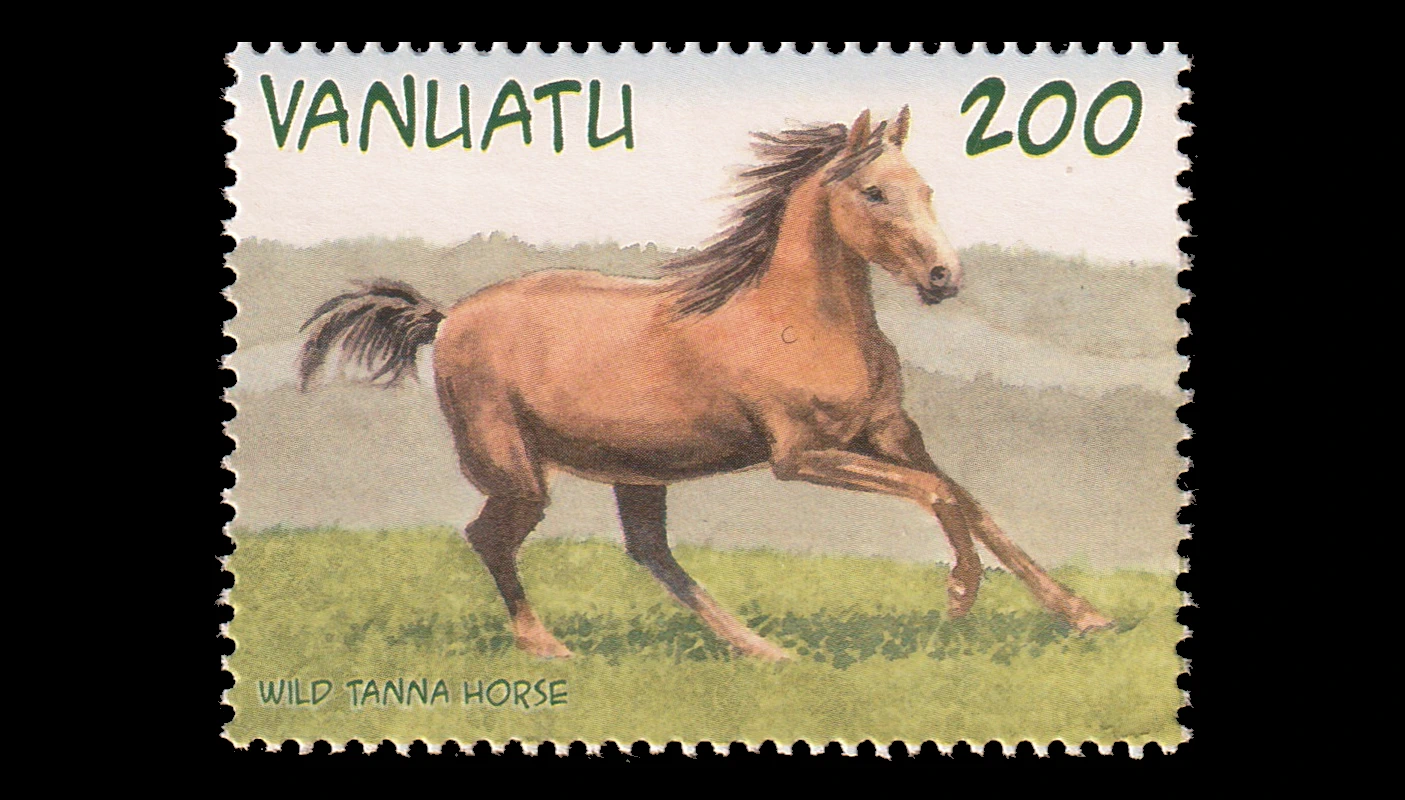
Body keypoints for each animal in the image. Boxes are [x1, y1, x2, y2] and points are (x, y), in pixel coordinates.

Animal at [298, 107, 1114, 661]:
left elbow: (969, 501)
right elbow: (939, 495)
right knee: (490, 537)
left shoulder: (889, 431)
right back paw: (546, 645)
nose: (944, 277)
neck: (797, 320)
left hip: (636, 471)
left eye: (926, 187)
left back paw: (764, 650)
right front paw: (960, 597)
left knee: (649, 553)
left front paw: (1084, 615)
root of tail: (446, 317)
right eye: (876, 193)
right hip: (516, 469)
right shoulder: (801, 457)